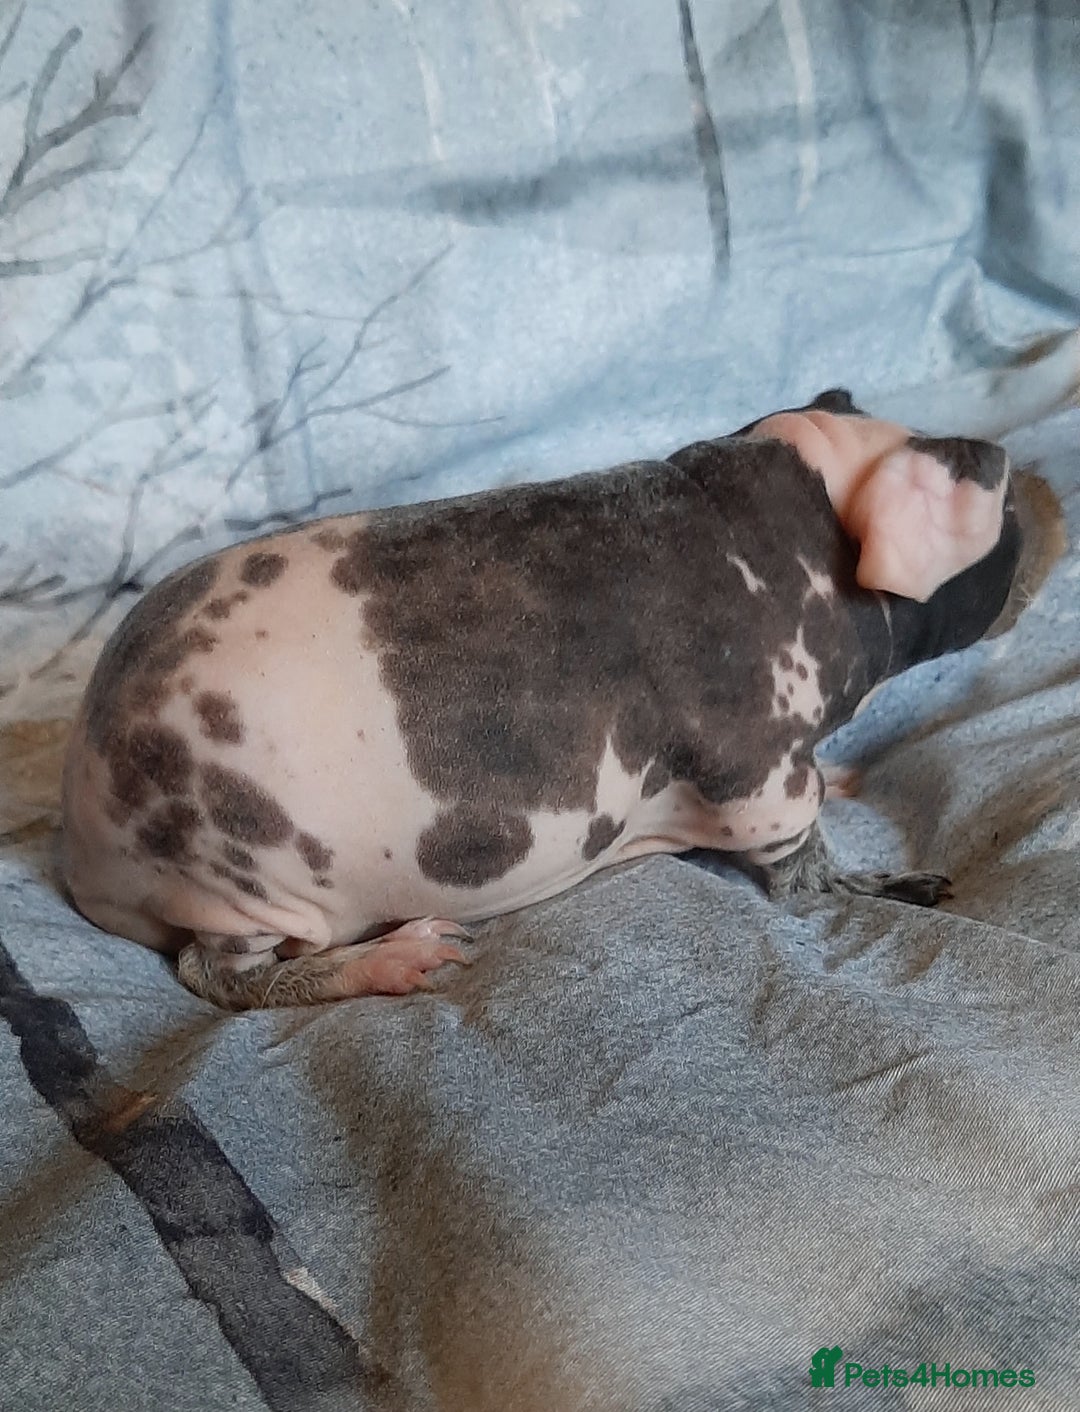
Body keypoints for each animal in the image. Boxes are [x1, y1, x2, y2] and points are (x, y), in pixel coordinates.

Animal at [59, 392, 1065, 1009]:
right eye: (1006, 517)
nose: (1058, 500)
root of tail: (86, 841)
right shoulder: (755, 760)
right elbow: (798, 861)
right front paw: (889, 882)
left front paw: (848, 774)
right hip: (241, 881)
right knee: (218, 976)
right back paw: (392, 957)